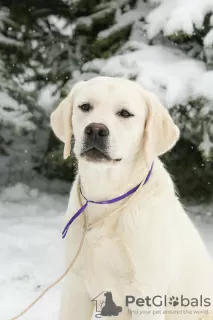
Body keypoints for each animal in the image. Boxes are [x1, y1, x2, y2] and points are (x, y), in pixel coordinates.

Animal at [50, 76, 213, 318]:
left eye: (125, 113)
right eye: (85, 107)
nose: (95, 129)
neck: (106, 198)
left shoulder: (146, 295)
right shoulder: (75, 288)